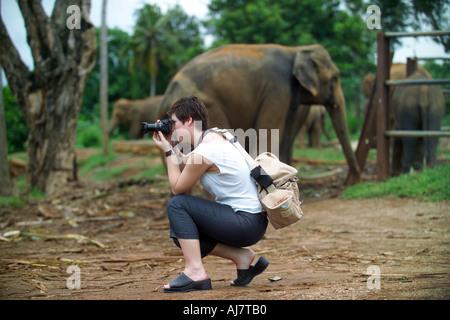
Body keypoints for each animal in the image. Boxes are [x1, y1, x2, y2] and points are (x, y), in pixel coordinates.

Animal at [158, 44, 362, 185]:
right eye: (335, 78)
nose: (351, 181)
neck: (296, 50)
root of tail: (169, 91)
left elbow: (285, 137)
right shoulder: (276, 91)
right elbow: (269, 134)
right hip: (211, 105)